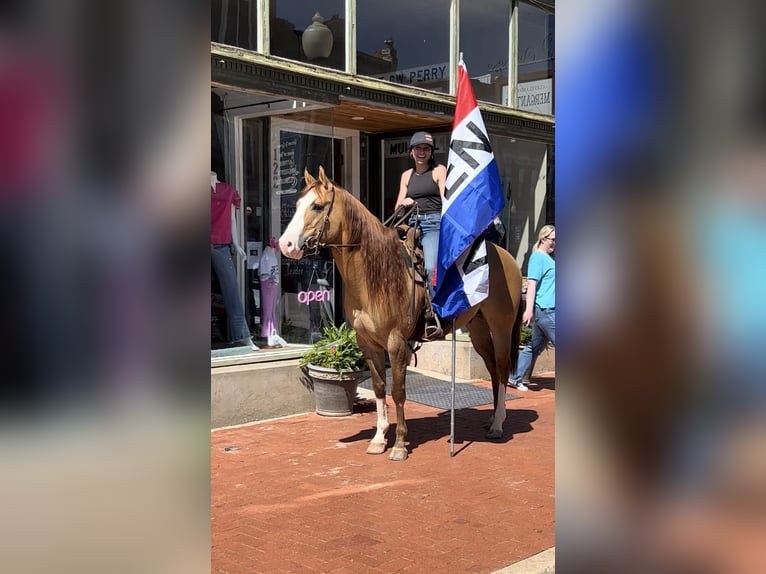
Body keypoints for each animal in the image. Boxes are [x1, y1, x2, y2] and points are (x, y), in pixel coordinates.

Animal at [279, 166, 523, 461]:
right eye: (296, 205)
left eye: (316, 206)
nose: (285, 244)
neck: (376, 274)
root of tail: (506, 257)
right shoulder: (367, 343)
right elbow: (379, 388)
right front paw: (378, 438)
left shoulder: (396, 343)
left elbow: (397, 391)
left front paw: (399, 445)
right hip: (478, 329)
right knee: (492, 369)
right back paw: (491, 419)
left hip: (501, 327)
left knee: (502, 368)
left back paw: (498, 424)